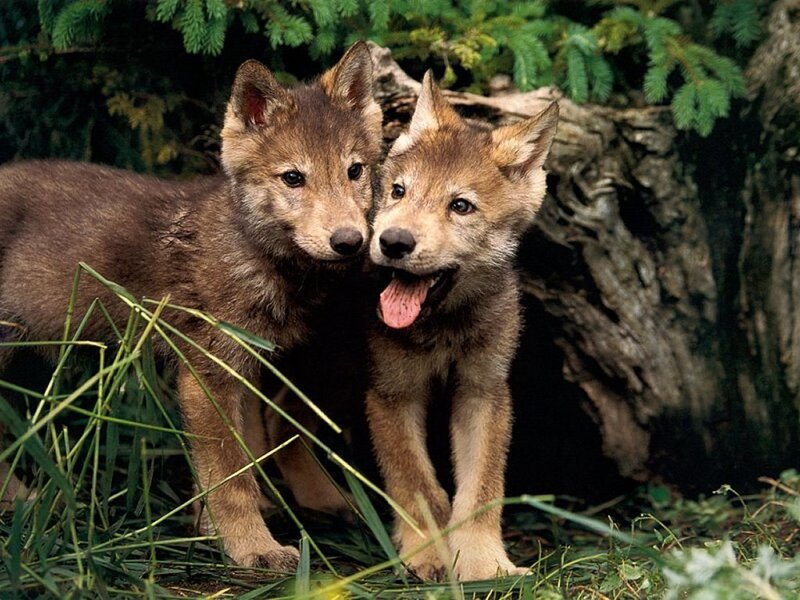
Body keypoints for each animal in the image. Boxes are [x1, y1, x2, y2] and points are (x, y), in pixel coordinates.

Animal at [0, 41, 382, 570]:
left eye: (355, 171)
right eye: (293, 178)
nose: (349, 241)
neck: (253, 256)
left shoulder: (249, 365)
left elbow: (242, 458)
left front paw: (217, 528)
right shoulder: (207, 373)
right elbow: (229, 478)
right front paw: (252, 548)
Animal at [366, 72, 559, 581]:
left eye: (461, 206)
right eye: (398, 191)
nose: (393, 242)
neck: (444, 328)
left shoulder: (484, 391)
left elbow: (481, 490)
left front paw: (482, 562)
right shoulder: (391, 394)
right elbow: (418, 484)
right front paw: (426, 554)